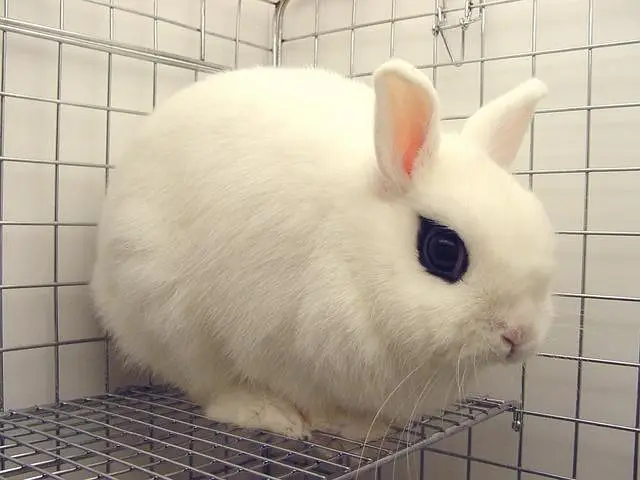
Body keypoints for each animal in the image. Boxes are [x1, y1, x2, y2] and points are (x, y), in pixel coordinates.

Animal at [90, 58, 556, 442]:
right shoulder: (278, 339)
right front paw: (334, 424)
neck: (354, 251)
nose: (518, 335)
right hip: (165, 311)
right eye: (443, 250)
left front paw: (365, 426)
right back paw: (263, 412)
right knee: (205, 382)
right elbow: (306, 397)